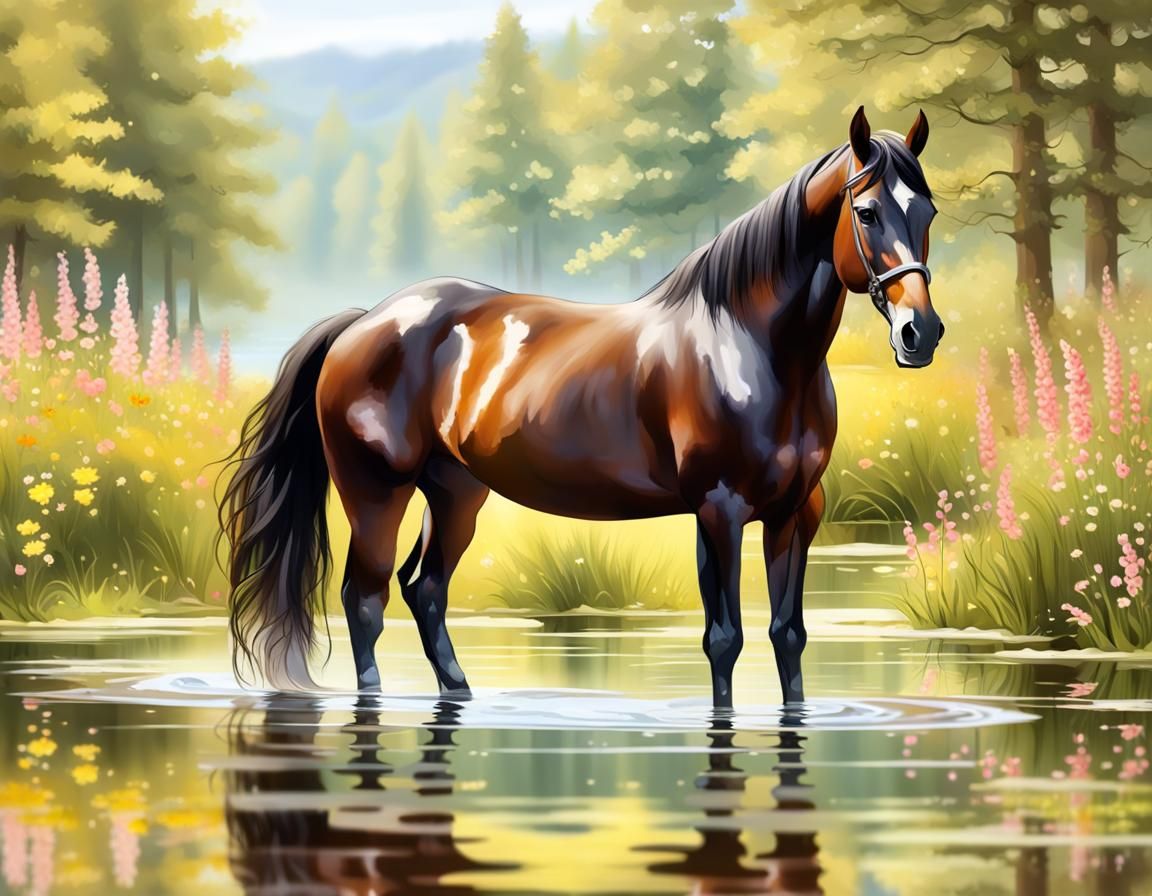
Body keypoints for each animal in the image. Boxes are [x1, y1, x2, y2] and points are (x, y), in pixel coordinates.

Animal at [222, 106, 941, 707]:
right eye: (867, 212)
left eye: (928, 213)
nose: (921, 333)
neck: (751, 349)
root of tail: (366, 320)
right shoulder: (720, 509)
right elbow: (725, 638)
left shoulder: (797, 512)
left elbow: (788, 636)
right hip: (376, 491)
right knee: (365, 600)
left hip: (455, 492)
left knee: (424, 591)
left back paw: (462, 693)